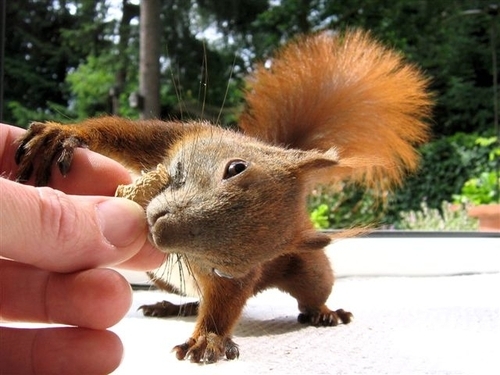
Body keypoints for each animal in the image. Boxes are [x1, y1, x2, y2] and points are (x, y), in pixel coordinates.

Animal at [14, 30, 430, 364]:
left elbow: (225, 302)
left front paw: (208, 339)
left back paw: (324, 312)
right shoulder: (174, 136)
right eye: (235, 167)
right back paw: (172, 305)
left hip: (311, 270)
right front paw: (62, 133)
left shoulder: (238, 278)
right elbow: (118, 132)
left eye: (226, 263)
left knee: (310, 291)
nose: (158, 227)